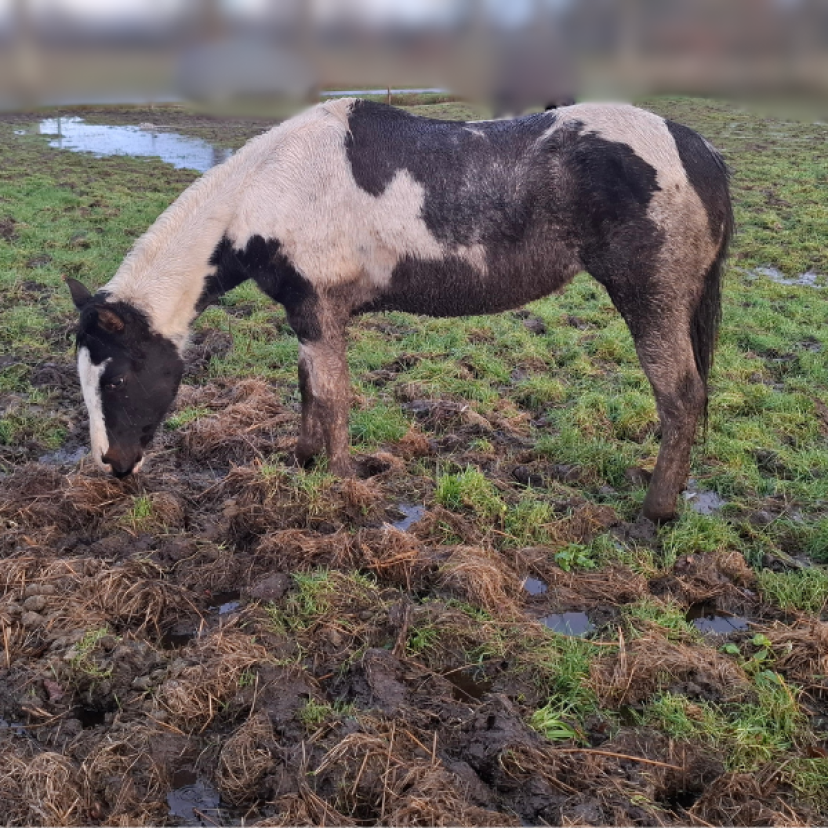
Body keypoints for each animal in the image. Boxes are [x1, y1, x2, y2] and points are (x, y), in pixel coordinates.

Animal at [67, 97, 733, 522]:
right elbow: (309, 388)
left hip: (650, 301)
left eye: (118, 378)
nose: (113, 466)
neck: (268, 190)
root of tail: (696, 148)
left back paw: (655, 514)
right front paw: (304, 461)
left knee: (681, 396)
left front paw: (343, 487)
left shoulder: (319, 313)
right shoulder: (309, 319)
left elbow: (332, 396)